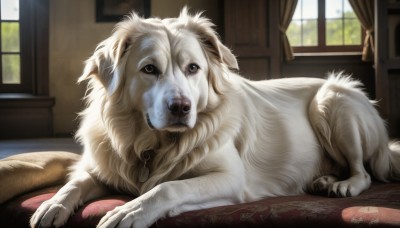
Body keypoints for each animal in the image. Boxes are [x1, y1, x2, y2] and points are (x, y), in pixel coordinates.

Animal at [31, 8, 400, 228]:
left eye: (193, 68)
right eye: (149, 69)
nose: (181, 107)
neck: (152, 144)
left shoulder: (230, 178)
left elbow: (168, 187)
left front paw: (130, 210)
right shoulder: (101, 166)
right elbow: (74, 182)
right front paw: (52, 204)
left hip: (333, 100)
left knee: (365, 172)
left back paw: (343, 184)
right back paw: (323, 179)